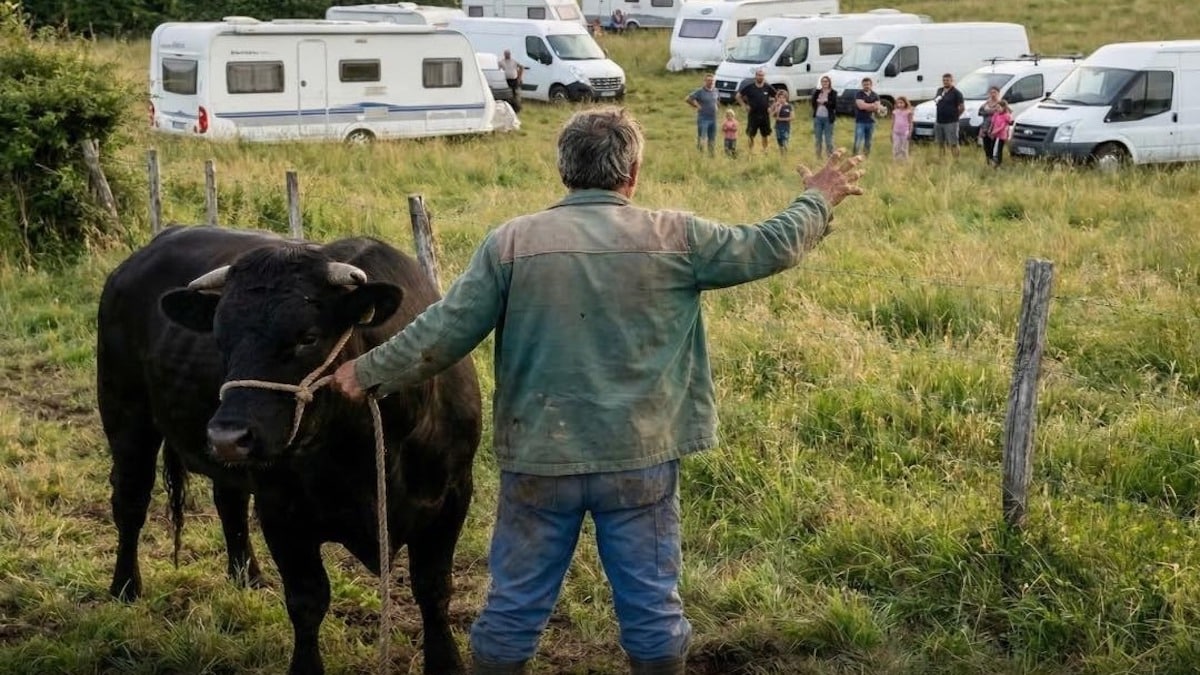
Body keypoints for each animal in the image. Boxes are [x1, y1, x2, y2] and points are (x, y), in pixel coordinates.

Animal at [96, 226, 483, 674]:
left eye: (308, 338)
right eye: (220, 339)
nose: (228, 435)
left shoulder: (452, 497)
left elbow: (433, 589)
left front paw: (446, 663)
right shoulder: (281, 509)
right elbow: (307, 599)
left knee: (228, 501)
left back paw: (247, 577)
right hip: (126, 418)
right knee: (130, 503)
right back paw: (125, 587)